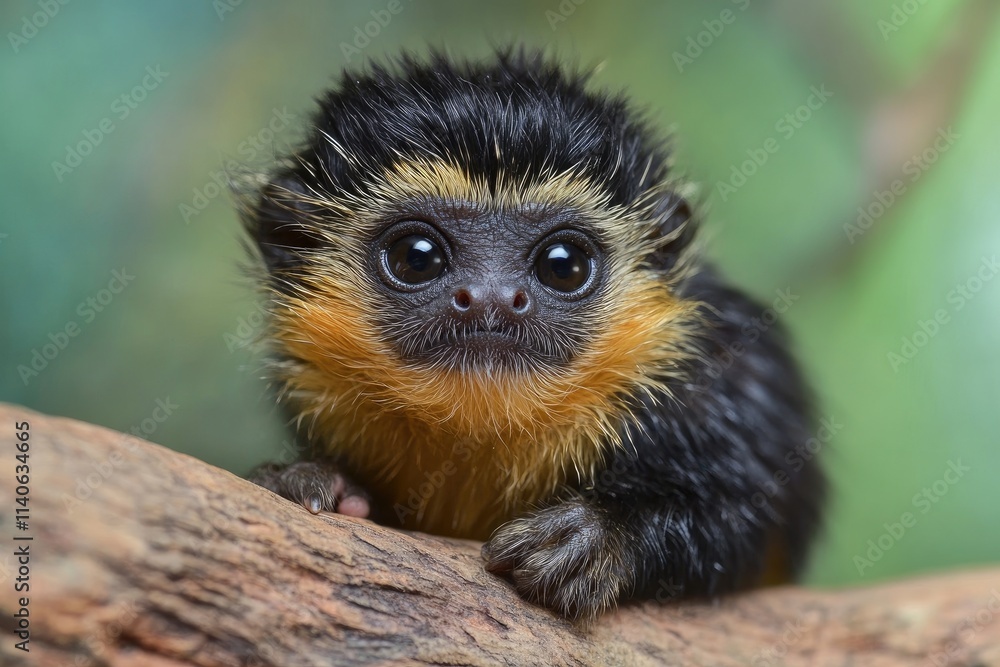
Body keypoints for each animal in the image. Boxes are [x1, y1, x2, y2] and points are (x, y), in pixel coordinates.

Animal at [238, 49, 826, 623]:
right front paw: (313, 481)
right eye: (417, 257)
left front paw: (601, 536)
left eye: (562, 265)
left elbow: (756, 515)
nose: (491, 298)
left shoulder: (728, 377)